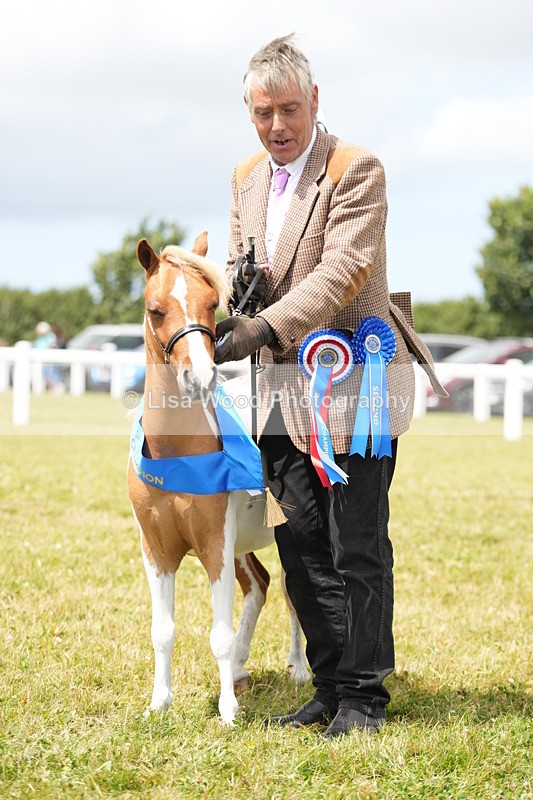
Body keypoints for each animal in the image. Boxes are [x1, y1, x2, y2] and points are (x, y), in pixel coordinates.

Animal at [128, 233, 309, 724]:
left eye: (212, 304)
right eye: (155, 309)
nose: (201, 376)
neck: (179, 456)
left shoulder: (215, 546)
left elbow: (219, 635)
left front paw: (228, 712)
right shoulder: (157, 552)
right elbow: (162, 630)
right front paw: (159, 703)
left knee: (292, 593)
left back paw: (299, 668)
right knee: (261, 587)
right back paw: (245, 667)